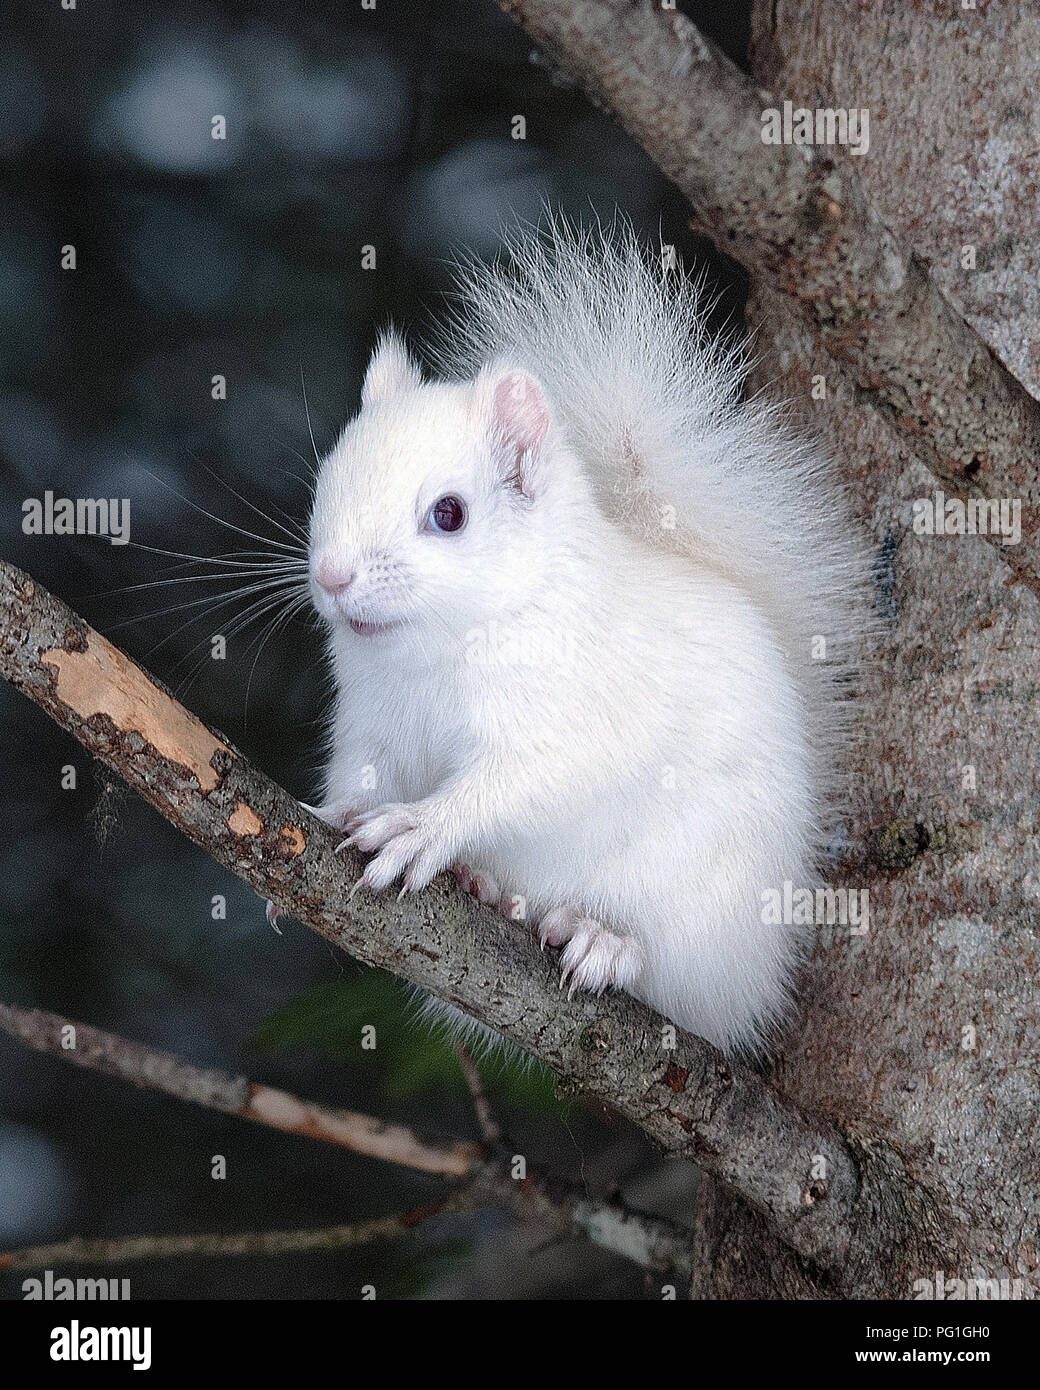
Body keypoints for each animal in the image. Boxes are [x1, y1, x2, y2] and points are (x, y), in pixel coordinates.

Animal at [303, 218, 871, 1056]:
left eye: (449, 514)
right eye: (326, 481)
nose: (333, 577)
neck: (439, 648)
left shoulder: (573, 720)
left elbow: (518, 783)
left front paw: (423, 827)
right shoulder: (372, 726)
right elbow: (360, 776)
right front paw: (338, 814)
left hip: (701, 901)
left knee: (682, 981)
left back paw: (607, 939)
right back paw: (486, 885)